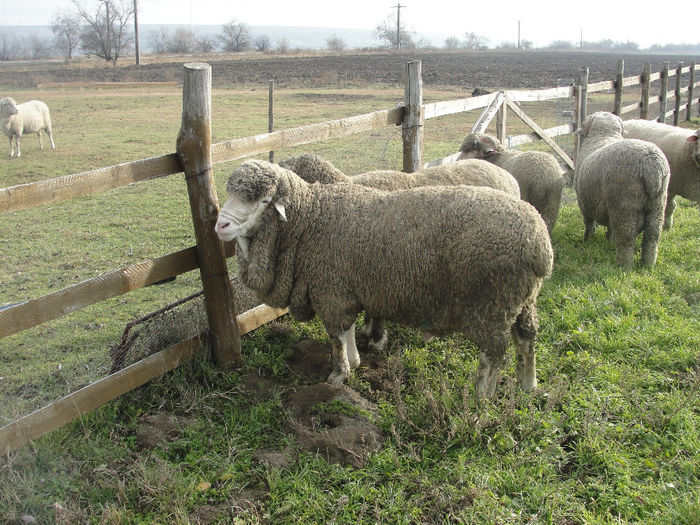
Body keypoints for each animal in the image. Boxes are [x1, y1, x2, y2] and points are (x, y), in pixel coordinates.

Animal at [213, 159, 552, 398]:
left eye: (262, 201)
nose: (220, 225)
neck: (311, 218)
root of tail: (540, 243)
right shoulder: (344, 289)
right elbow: (347, 331)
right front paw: (355, 361)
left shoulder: (331, 291)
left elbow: (336, 337)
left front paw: (338, 375)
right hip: (523, 299)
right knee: (527, 337)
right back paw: (528, 385)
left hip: (492, 304)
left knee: (493, 354)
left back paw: (480, 399)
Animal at [576, 110, 672, 266]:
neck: (604, 135)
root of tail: (652, 167)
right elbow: (610, 226)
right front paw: (609, 240)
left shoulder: (584, 202)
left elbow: (589, 223)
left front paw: (587, 239)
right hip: (657, 203)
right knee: (652, 235)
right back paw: (647, 264)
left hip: (624, 203)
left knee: (626, 237)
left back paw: (623, 265)